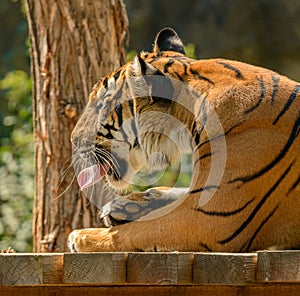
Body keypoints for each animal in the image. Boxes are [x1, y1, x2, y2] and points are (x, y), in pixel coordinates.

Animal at [68, 27, 300, 252]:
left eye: (101, 105)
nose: (73, 140)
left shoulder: (209, 218)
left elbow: (138, 230)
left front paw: (82, 236)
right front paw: (125, 205)